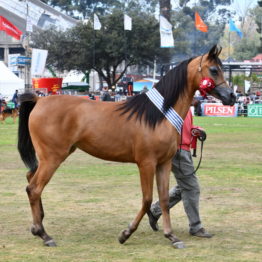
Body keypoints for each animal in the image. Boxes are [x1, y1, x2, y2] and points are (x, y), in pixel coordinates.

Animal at [17, 45, 235, 248]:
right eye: (214, 70)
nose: (231, 96)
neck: (159, 116)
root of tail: (39, 101)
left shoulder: (163, 164)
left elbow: (164, 199)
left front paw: (171, 236)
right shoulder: (146, 163)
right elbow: (147, 199)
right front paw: (126, 233)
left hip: (52, 156)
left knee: (30, 179)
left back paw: (37, 226)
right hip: (52, 157)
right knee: (34, 188)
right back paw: (44, 235)